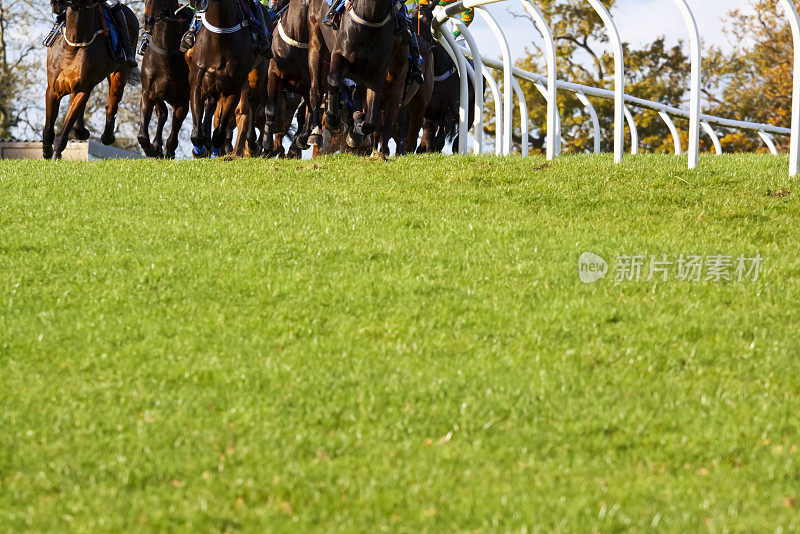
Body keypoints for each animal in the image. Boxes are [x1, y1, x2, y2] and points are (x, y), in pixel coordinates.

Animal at [43, 0, 139, 159]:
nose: (56, 4)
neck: (75, 41)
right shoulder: (54, 89)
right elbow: (49, 127)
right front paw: (46, 150)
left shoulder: (82, 89)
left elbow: (65, 128)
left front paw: (56, 154)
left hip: (119, 73)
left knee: (111, 105)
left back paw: (107, 137)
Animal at [138, 0, 194, 159]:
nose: (148, 22)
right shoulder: (148, 93)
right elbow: (142, 135)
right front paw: (152, 149)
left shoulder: (182, 101)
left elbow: (174, 132)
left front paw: (168, 151)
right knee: (162, 114)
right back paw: (157, 145)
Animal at [304, 0, 410, 155]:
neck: (371, 17)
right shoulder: (338, 55)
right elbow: (333, 81)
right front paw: (333, 120)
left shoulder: (377, 74)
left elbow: (370, 120)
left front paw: (357, 129)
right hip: (315, 41)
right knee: (316, 88)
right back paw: (316, 132)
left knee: (358, 95)